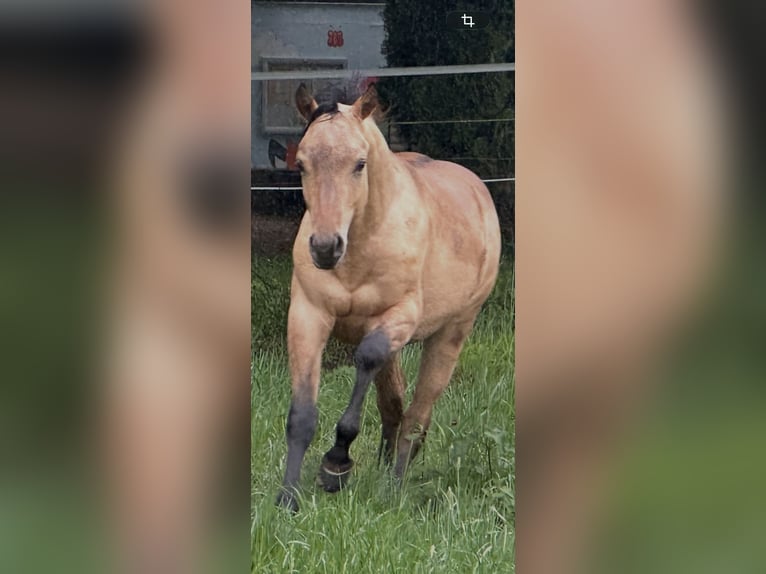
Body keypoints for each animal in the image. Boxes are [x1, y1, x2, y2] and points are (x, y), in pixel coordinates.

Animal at [276, 83, 501, 512]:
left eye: (360, 163)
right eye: (302, 165)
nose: (325, 247)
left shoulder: (400, 315)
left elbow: (366, 359)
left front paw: (335, 465)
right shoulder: (308, 315)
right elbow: (302, 414)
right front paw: (287, 499)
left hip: (451, 333)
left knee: (416, 416)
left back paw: (393, 488)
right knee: (393, 406)